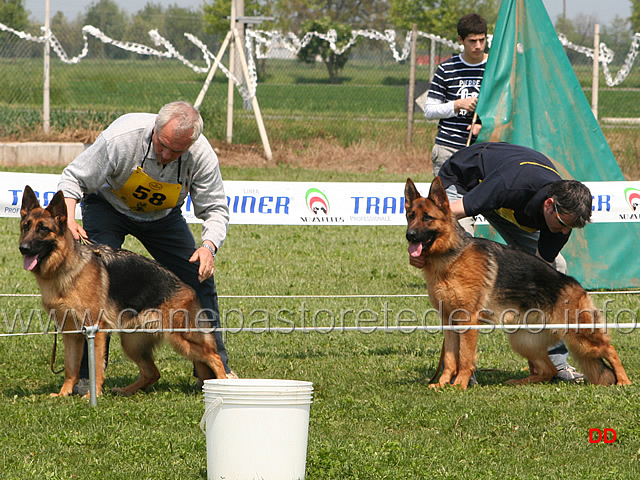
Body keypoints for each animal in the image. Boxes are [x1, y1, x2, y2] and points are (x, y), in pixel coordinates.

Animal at [19, 186, 228, 400]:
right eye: (26, 227)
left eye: (43, 229)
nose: (23, 248)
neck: (65, 268)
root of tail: (188, 288)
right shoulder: (71, 332)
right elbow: (71, 367)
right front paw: (64, 394)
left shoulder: (95, 331)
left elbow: (96, 366)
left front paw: (93, 395)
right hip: (132, 342)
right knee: (152, 373)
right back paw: (125, 391)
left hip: (180, 339)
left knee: (214, 357)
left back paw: (223, 385)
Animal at [404, 176, 632, 390]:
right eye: (411, 216)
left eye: (428, 218)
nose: (409, 235)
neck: (450, 256)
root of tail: (575, 285)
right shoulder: (448, 322)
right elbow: (451, 359)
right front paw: (443, 384)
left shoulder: (467, 321)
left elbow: (465, 359)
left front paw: (459, 384)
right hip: (524, 341)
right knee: (548, 370)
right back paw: (521, 381)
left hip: (580, 335)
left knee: (610, 350)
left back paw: (624, 381)